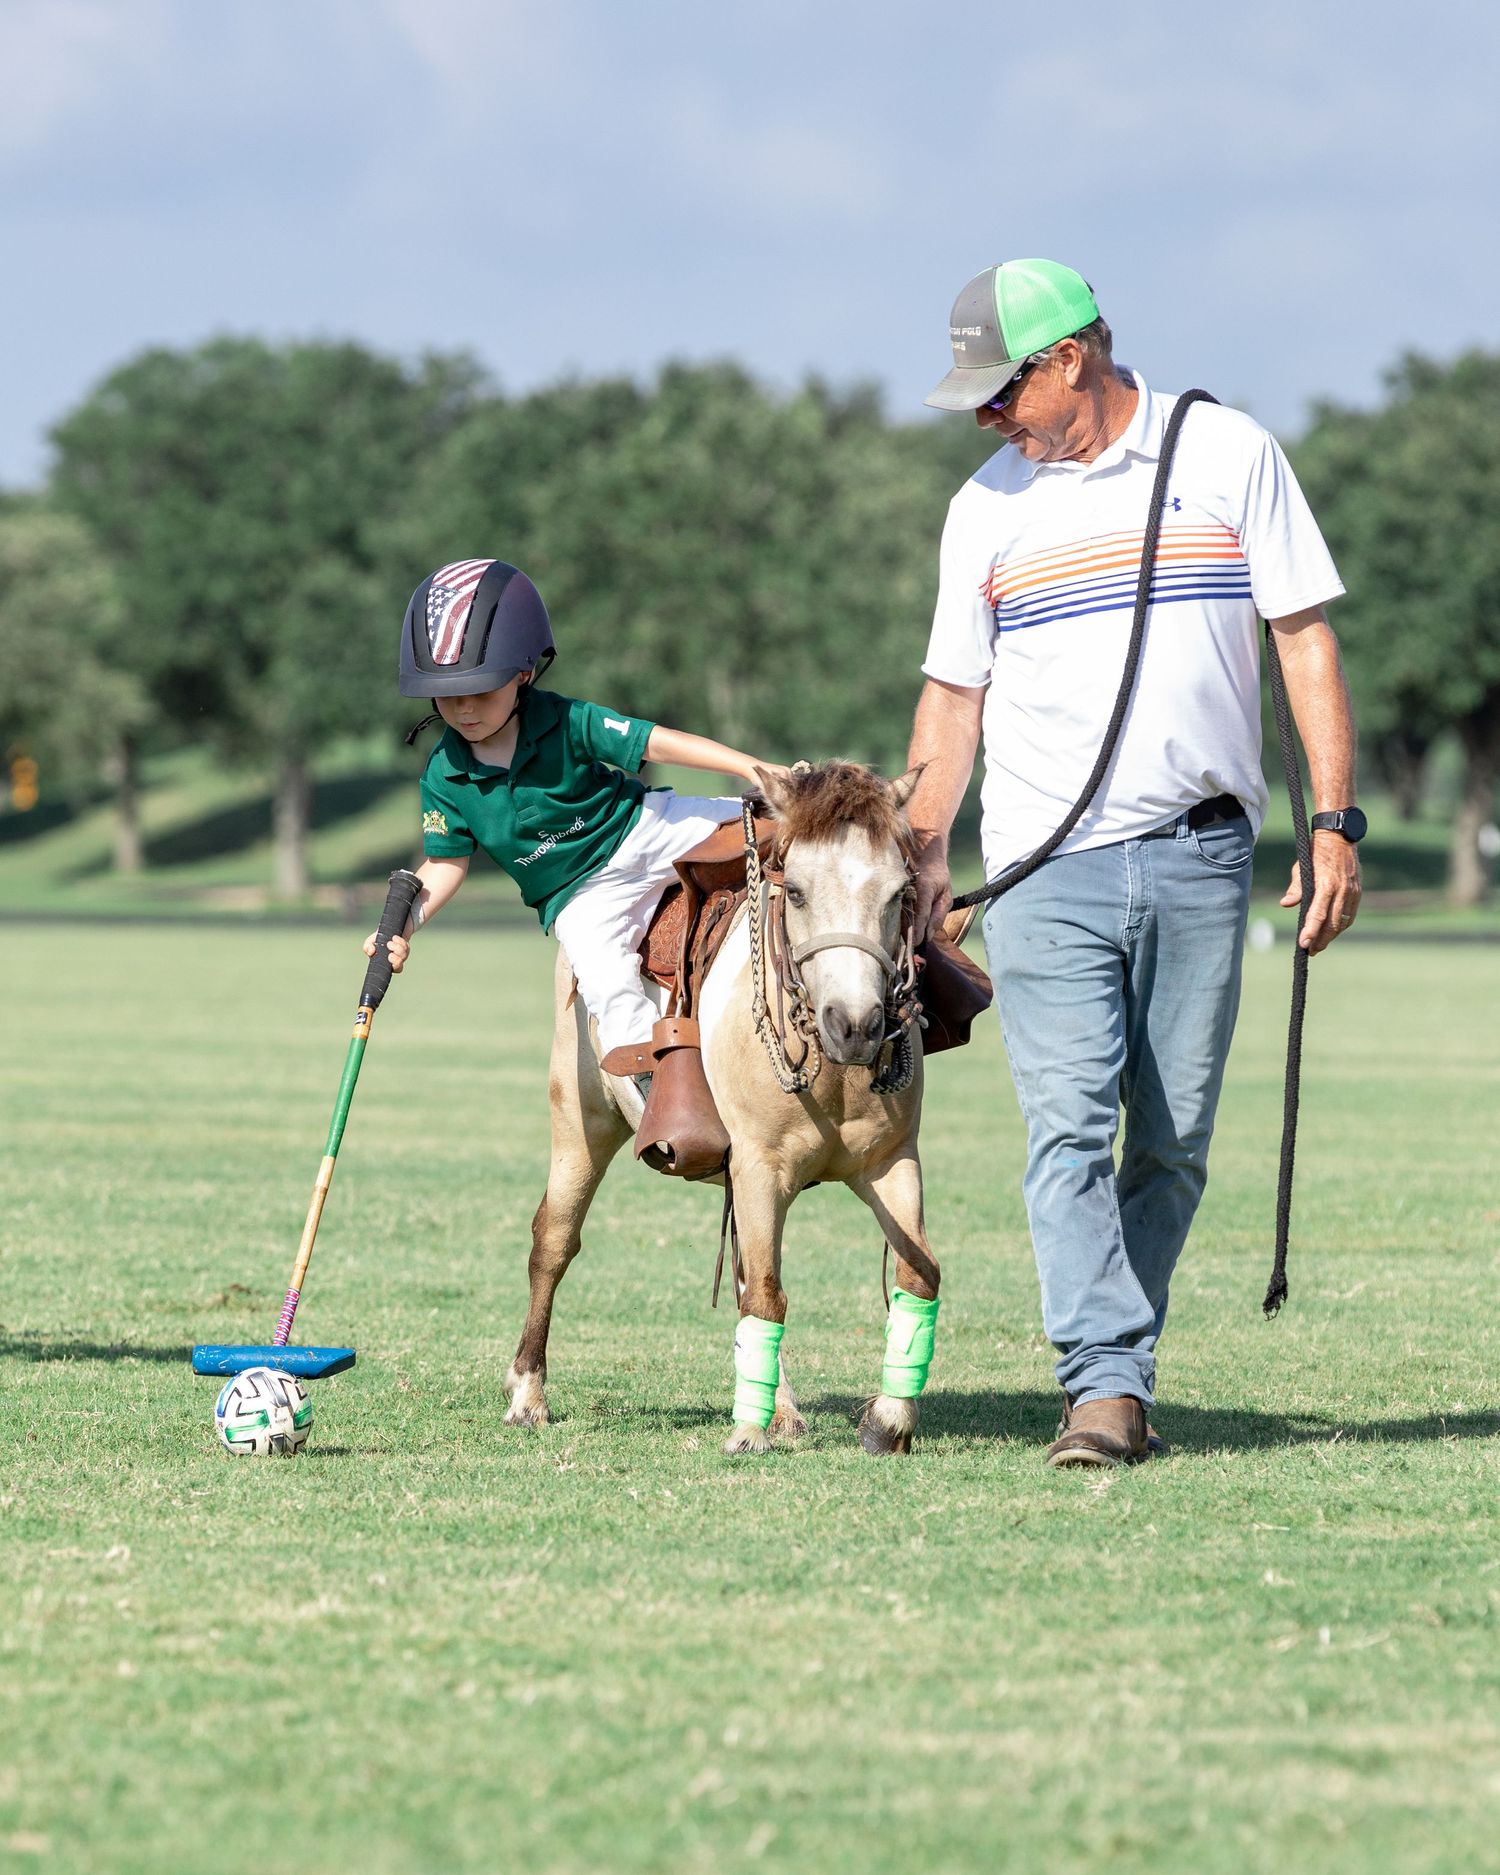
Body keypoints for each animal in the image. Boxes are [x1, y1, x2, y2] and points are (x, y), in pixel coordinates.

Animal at [503, 761, 943, 1456]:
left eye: (900, 893)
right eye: (797, 894)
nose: (854, 1026)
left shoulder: (892, 1163)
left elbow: (917, 1273)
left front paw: (888, 1420)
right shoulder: (761, 1167)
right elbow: (765, 1292)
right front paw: (747, 1431)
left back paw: (781, 1408)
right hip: (581, 1119)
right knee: (554, 1240)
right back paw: (527, 1394)